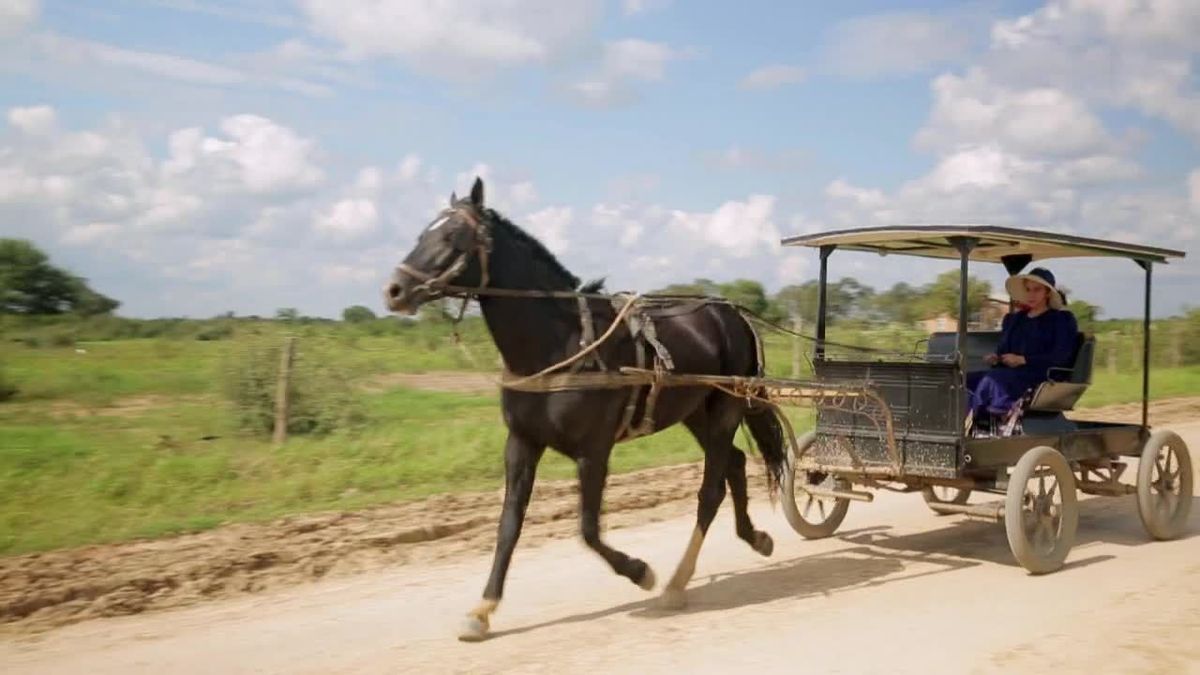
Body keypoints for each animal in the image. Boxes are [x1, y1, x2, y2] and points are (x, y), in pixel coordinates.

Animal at [384, 176, 787, 638]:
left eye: (453, 236)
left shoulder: (593, 451)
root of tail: (732, 314)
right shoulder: (521, 443)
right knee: (735, 464)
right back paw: (754, 538)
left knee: (711, 489)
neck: (560, 345)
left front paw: (639, 571)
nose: (394, 290)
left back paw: (676, 583)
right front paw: (483, 608)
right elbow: (509, 524)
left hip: (726, 409)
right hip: (694, 412)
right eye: (423, 233)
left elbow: (588, 529)